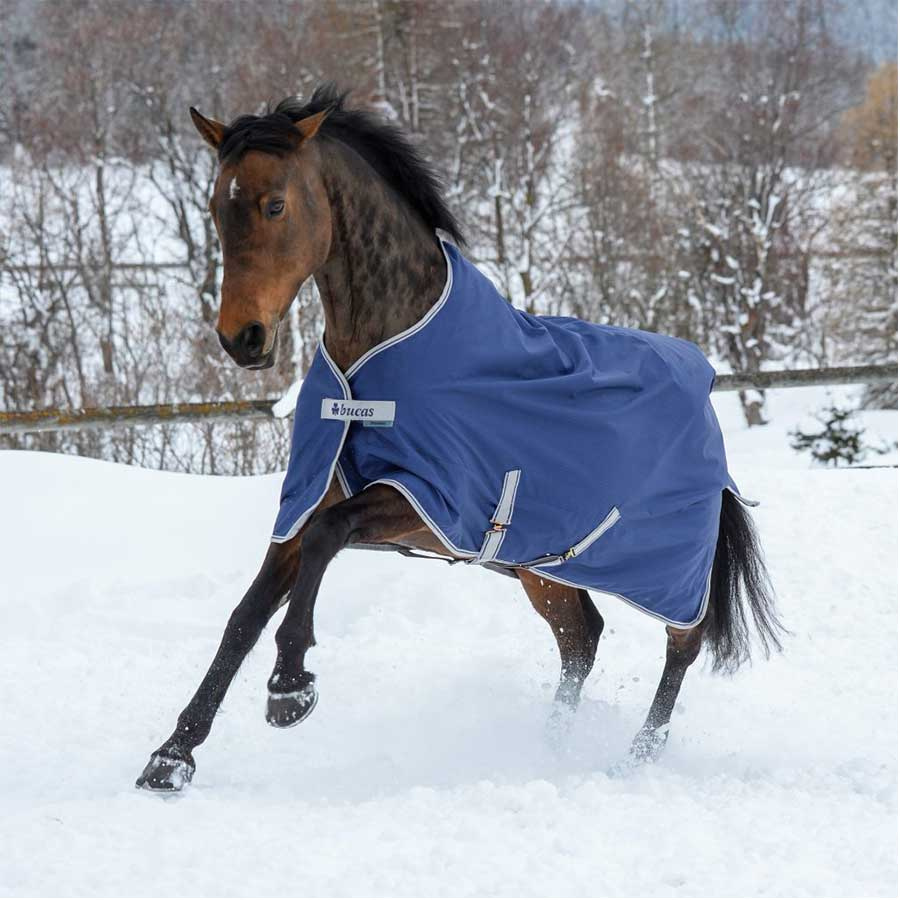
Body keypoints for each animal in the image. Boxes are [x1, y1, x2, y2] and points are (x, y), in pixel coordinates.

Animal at [136, 85, 782, 792]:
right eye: (215, 208)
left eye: (274, 203)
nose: (241, 338)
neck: (375, 361)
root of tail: (703, 382)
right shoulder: (308, 502)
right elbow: (245, 615)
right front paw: (172, 757)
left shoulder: (425, 502)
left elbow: (327, 541)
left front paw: (289, 687)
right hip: (543, 568)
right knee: (581, 639)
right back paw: (547, 748)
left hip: (668, 566)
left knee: (682, 644)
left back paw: (634, 758)